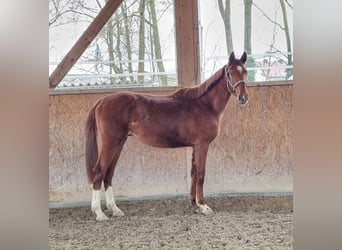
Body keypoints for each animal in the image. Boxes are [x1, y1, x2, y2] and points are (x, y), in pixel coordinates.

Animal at [84, 51, 247, 221]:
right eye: (230, 73)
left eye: (245, 72)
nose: (243, 97)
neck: (204, 105)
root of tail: (103, 100)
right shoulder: (202, 145)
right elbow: (201, 174)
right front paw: (203, 206)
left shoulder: (195, 146)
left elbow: (193, 174)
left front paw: (194, 205)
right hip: (111, 143)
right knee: (99, 172)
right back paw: (99, 212)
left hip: (118, 144)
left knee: (108, 174)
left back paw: (115, 209)